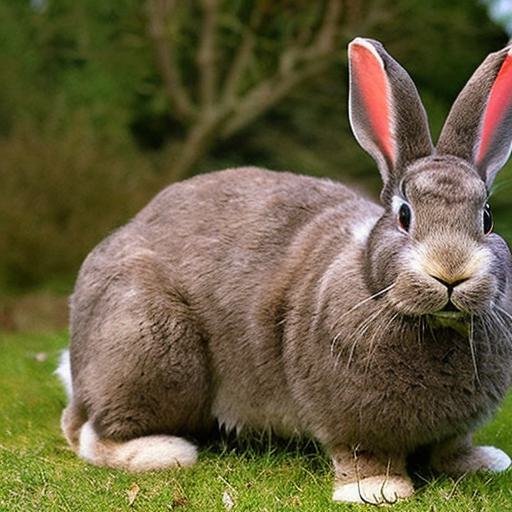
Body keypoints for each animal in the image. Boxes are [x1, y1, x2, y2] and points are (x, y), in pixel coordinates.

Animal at [57, 38, 512, 502]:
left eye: (487, 218)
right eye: (404, 215)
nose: (450, 272)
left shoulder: (453, 431)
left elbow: (450, 449)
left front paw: (482, 463)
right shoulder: (353, 423)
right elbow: (363, 455)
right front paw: (376, 490)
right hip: (149, 350)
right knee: (92, 432)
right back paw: (162, 452)